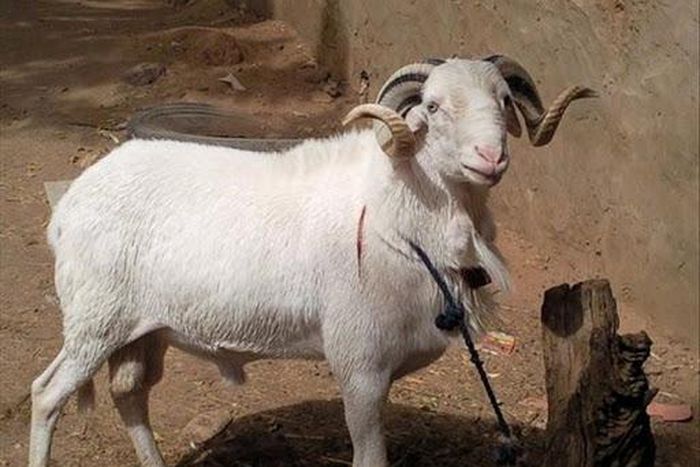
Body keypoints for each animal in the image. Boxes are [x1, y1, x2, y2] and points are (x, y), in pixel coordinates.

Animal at [29, 56, 593, 467]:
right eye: (432, 107)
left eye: (504, 100)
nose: (490, 158)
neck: (396, 212)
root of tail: (73, 200)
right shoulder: (359, 366)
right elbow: (370, 459)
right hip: (94, 320)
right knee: (46, 394)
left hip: (142, 331)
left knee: (128, 394)